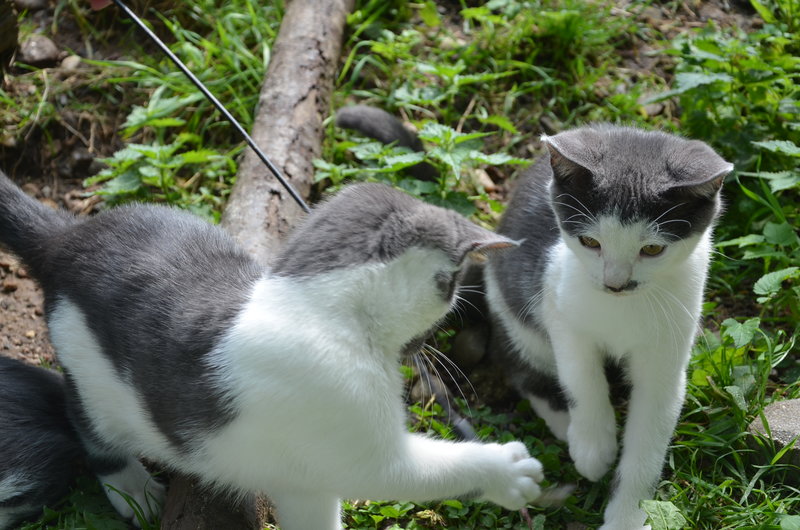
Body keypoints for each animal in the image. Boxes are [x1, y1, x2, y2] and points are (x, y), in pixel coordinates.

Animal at [484, 124, 732, 529]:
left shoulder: (669, 350)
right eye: (589, 241)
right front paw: (592, 446)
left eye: (652, 249)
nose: (615, 283)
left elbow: (650, 432)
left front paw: (627, 513)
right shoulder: (559, 302)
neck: (623, 309)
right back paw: (564, 423)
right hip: (513, 308)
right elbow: (581, 377)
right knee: (519, 367)